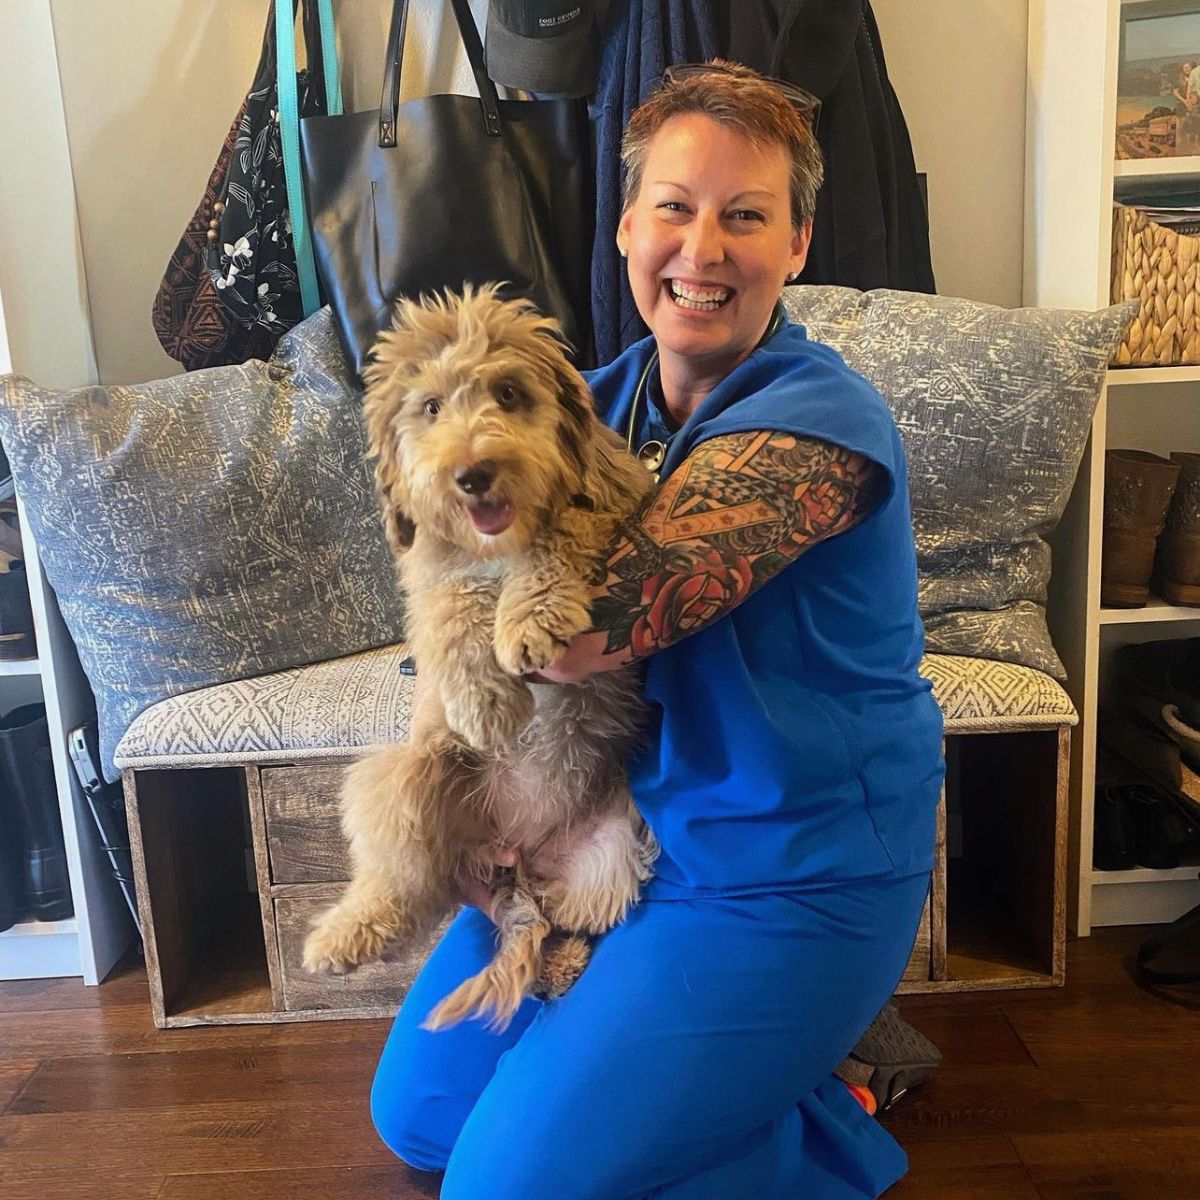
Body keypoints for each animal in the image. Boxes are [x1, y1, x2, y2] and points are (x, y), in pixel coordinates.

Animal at [298, 283, 657, 1032]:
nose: (472, 474)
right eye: (431, 407)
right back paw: (346, 935)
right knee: (410, 885)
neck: (495, 546)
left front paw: (527, 620)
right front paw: (486, 701)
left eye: (510, 393)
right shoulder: (432, 573)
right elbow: (451, 611)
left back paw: (560, 964)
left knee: (553, 915)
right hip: (396, 780)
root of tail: (516, 848)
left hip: (614, 854)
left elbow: (560, 532)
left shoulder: (619, 508)